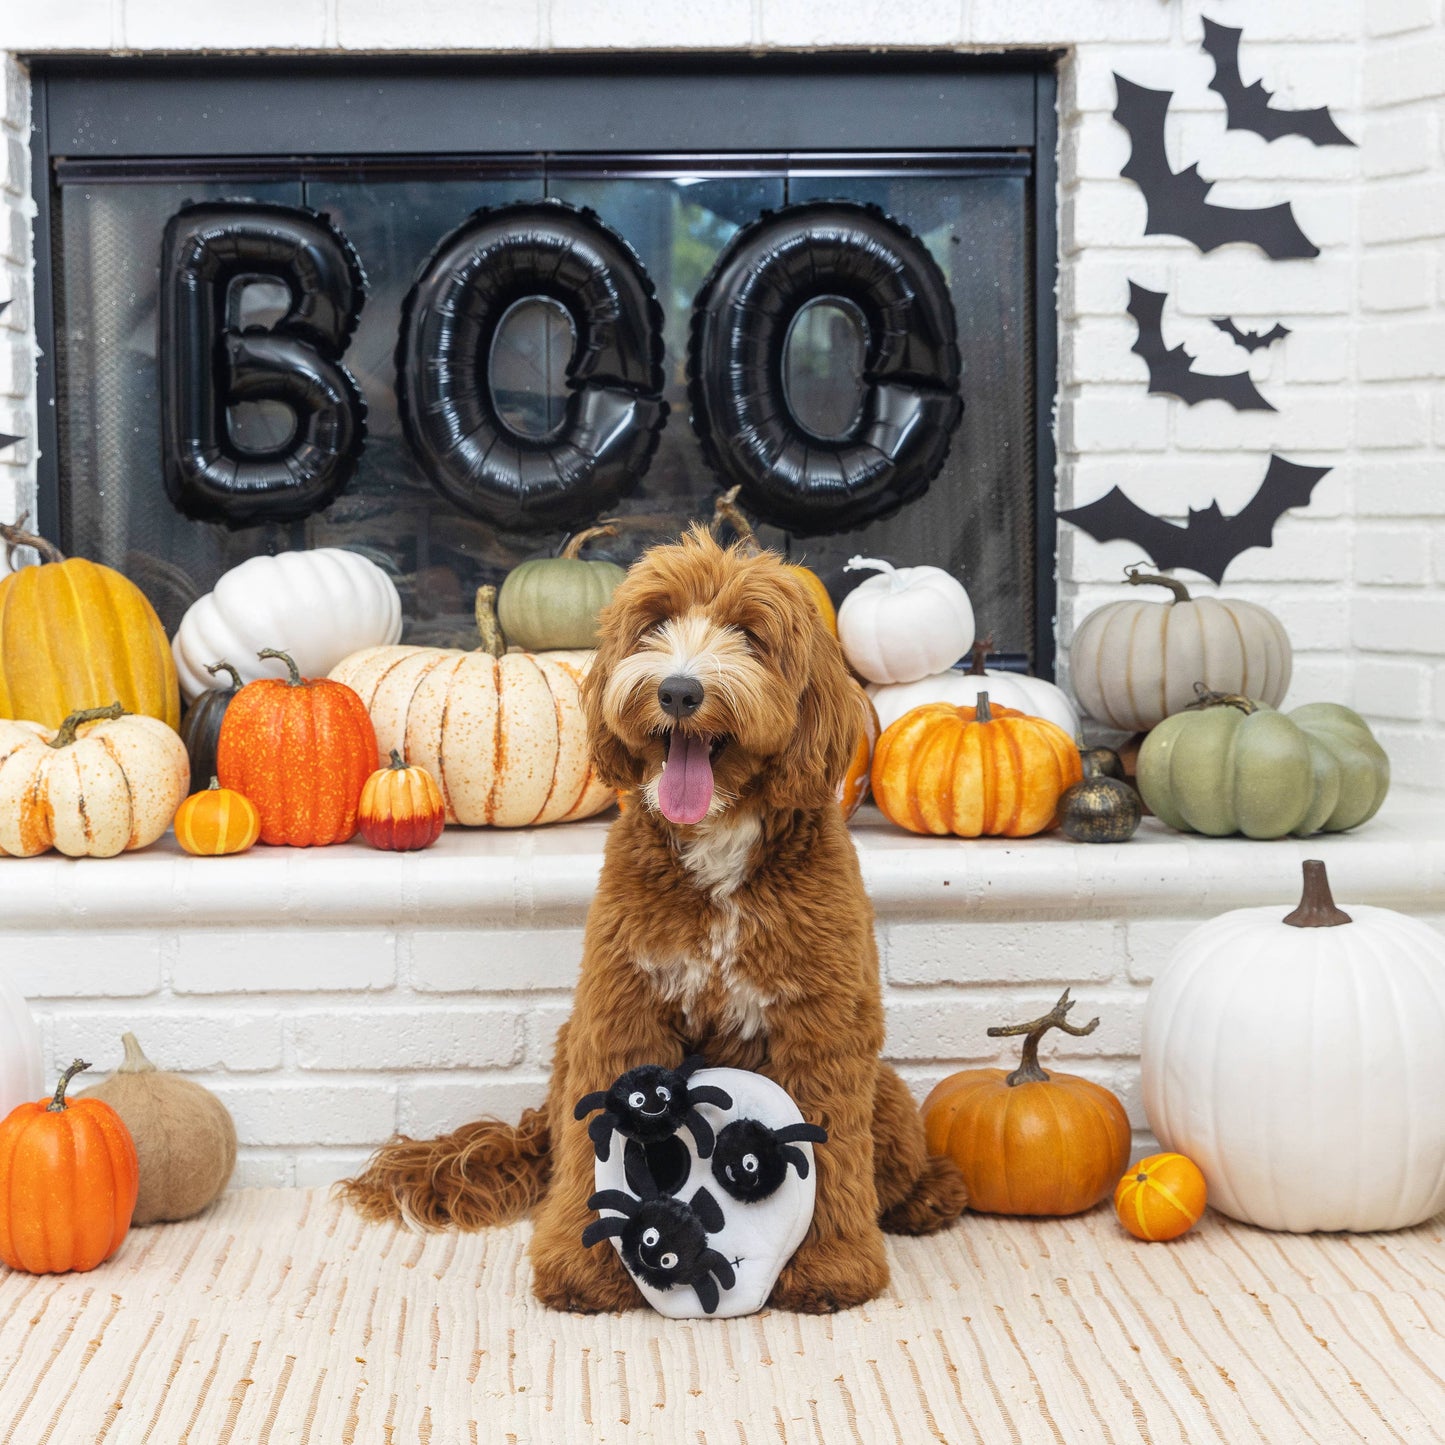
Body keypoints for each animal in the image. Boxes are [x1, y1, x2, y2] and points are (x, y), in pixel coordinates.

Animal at [342, 528, 965, 1312]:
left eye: (748, 634)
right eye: (654, 624)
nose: (678, 690)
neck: (719, 840)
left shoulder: (822, 1026)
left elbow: (833, 1149)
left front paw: (830, 1268)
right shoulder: (621, 1007)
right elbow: (599, 1152)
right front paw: (586, 1270)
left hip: (885, 1088)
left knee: (892, 1160)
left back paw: (929, 1192)